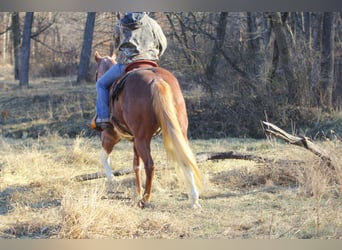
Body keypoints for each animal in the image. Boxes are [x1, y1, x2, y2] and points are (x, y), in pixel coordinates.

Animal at [92, 51, 202, 209]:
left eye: (96, 73)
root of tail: (156, 80)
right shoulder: (133, 140)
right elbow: (136, 165)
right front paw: (137, 192)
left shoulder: (110, 136)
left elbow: (104, 157)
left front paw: (113, 180)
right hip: (177, 133)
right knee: (185, 158)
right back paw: (193, 199)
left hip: (141, 139)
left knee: (150, 164)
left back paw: (145, 198)